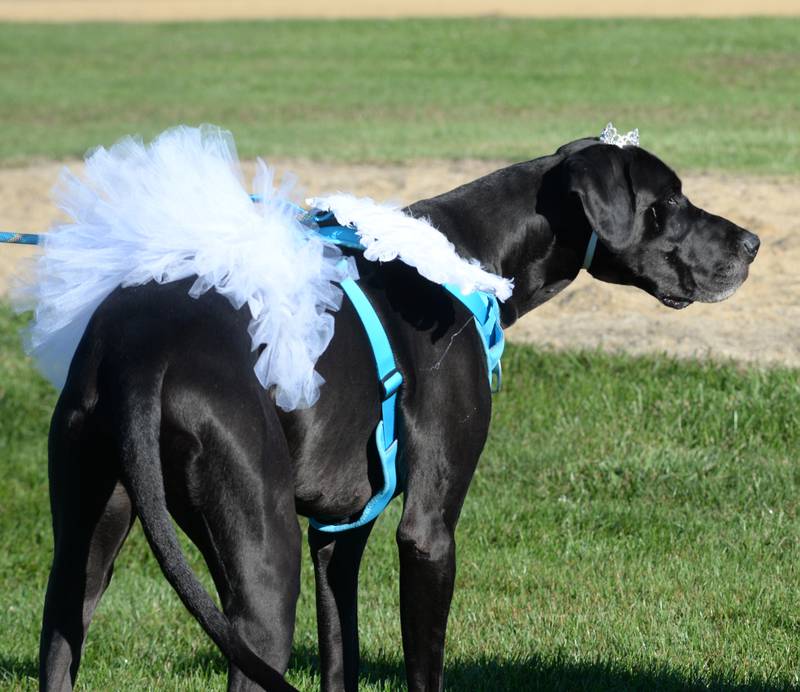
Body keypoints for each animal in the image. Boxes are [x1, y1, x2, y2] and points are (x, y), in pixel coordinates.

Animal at [39, 137, 756, 692]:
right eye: (669, 202)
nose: (752, 242)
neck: (466, 257)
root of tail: (140, 350)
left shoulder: (338, 535)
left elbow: (342, 661)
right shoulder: (427, 532)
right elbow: (424, 668)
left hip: (84, 560)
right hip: (265, 574)